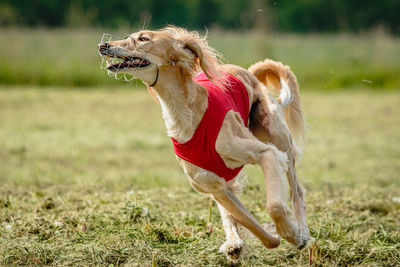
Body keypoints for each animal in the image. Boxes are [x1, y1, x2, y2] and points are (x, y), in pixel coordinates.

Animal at [97, 26, 310, 262]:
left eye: (143, 38)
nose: (103, 45)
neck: (186, 115)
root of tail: (248, 72)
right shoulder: (214, 186)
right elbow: (258, 231)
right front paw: (268, 237)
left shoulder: (266, 154)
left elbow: (274, 206)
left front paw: (293, 234)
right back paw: (234, 243)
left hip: (278, 137)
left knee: (297, 190)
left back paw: (302, 230)